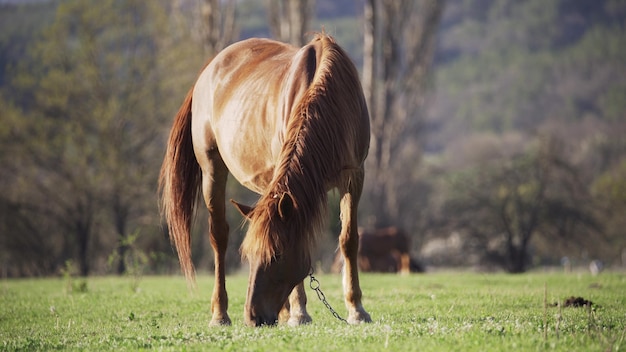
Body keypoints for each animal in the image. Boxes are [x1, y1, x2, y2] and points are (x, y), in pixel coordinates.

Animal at [158, 33, 370, 328]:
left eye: (277, 254)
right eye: (248, 256)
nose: (253, 316)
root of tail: (209, 69)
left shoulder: (354, 176)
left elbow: (349, 240)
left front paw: (356, 310)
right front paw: (300, 313)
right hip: (212, 169)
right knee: (218, 237)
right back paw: (220, 314)